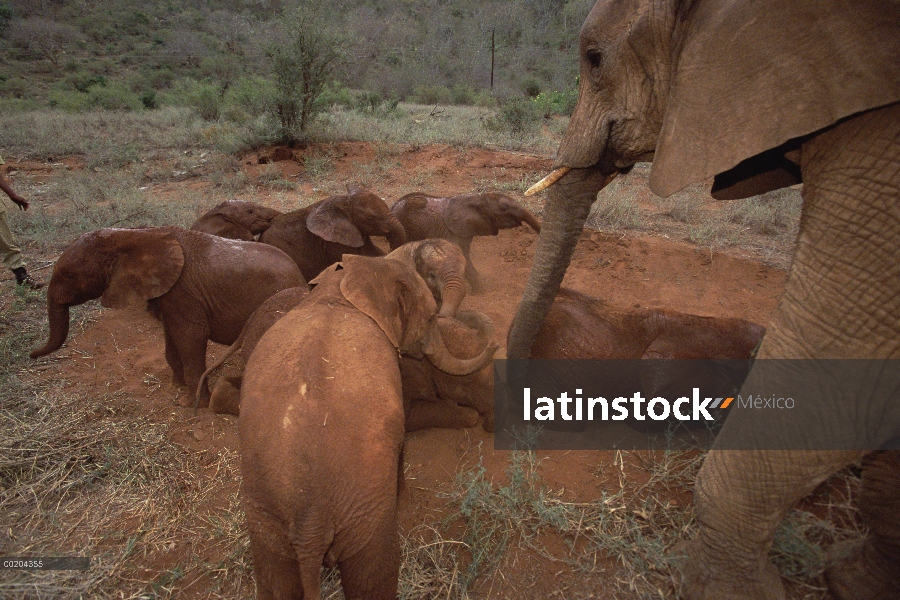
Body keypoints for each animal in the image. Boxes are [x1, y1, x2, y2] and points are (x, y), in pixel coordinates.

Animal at [29, 227, 304, 406]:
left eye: (69, 276)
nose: (31, 355)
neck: (134, 234)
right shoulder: (169, 294)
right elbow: (171, 336)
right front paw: (176, 387)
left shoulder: (183, 290)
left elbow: (191, 337)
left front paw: (191, 404)